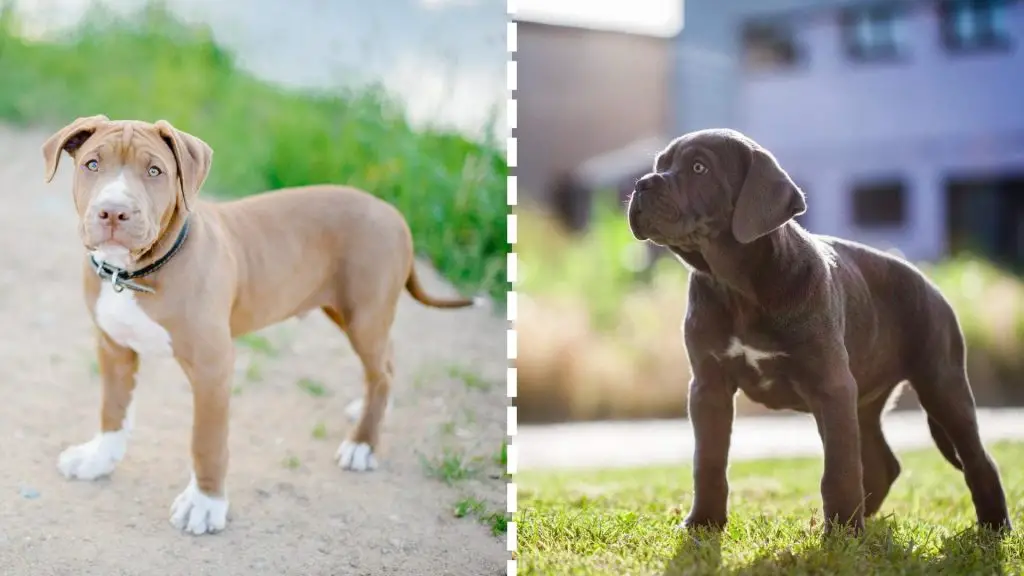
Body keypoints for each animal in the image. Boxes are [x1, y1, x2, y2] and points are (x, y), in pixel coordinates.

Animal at [40, 115, 479, 532]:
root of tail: (393, 213)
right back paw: (369, 408)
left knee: (381, 371)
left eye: (154, 171)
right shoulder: (114, 347)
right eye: (92, 164)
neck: (134, 274)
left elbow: (207, 440)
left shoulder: (213, 367)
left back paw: (363, 445)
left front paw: (205, 504)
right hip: (352, 313)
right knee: (385, 361)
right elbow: (112, 411)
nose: (114, 211)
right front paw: (98, 459)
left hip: (364, 313)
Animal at [626, 127, 1011, 532]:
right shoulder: (708, 385)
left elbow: (839, 469)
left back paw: (992, 526)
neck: (737, 285)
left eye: (699, 167)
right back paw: (862, 519)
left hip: (941, 383)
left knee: (977, 459)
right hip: (864, 399)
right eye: (660, 165)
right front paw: (703, 522)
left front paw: (841, 531)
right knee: (881, 463)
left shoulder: (830, 384)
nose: (642, 184)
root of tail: (931, 284)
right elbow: (709, 460)